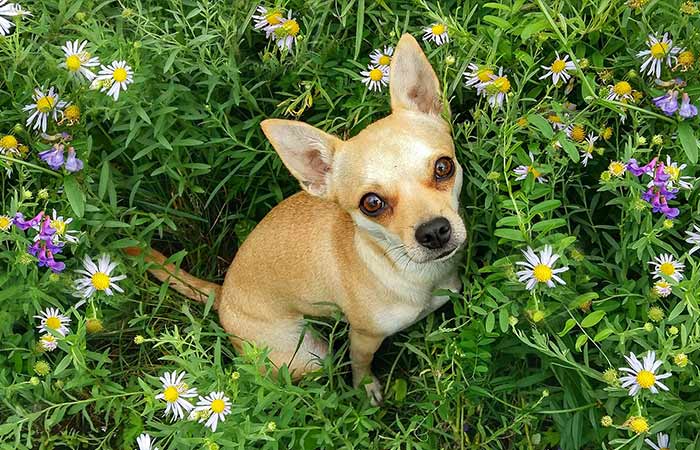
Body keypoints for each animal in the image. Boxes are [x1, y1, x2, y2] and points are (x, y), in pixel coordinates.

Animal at [131, 32, 464, 404]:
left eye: (443, 167)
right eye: (372, 203)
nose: (434, 231)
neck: (410, 271)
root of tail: (224, 293)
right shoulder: (363, 337)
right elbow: (360, 365)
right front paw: (366, 389)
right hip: (310, 355)